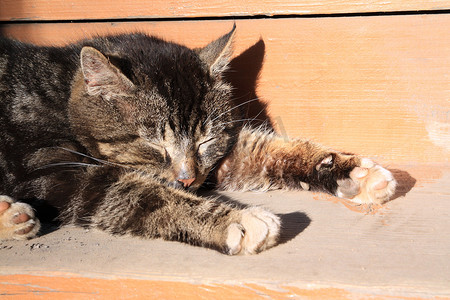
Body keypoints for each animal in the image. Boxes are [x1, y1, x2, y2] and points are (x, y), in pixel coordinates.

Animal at [0, 26, 394, 255]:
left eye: (205, 140)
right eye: (154, 145)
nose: (188, 179)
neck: (61, 90)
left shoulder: (219, 159)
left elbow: (261, 150)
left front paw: (352, 171)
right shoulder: (57, 171)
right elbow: (139, 193)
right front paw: (234, 220)